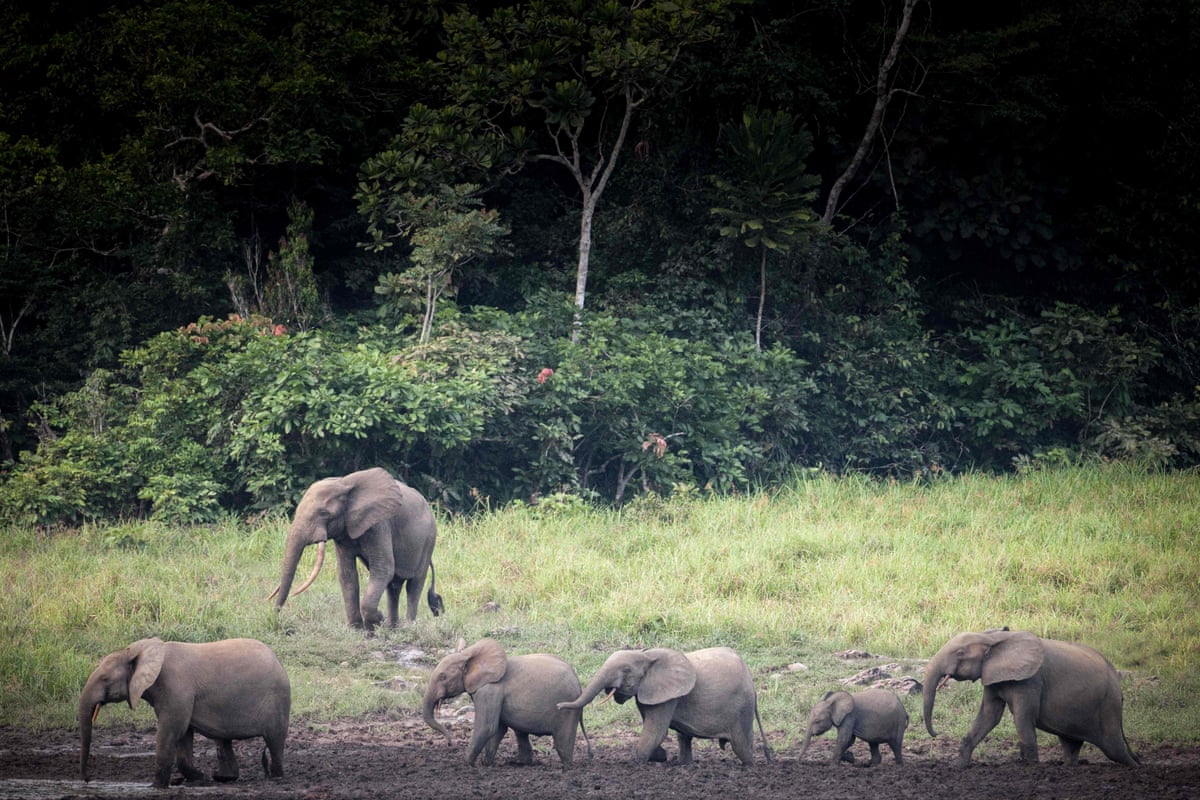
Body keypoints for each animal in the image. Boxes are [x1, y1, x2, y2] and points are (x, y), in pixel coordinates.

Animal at [79, 637, 290, 789]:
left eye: (105, 679)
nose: (87, 780)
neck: (136, 652)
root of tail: (278, 661)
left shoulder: (176, 689)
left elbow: (171, 731)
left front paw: (156, 787)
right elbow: (183, 735)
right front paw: (200, 778)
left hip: (277, 700)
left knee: (274, 740)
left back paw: (276, 777)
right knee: (222, 741)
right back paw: (222, 778)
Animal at [269, 467, 443, 630]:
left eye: (324, 513)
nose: (275, 616)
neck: (343, 483)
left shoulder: (379, 524)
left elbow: (383, 569)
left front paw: (376, 622)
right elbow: (347, 574)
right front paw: (357, 629)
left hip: (429, 540)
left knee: (414, 584)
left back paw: (407, 627)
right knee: (394, 586)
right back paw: (392, 628)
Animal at [422, 638, 591, 768]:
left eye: (443, 677)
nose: (450, 743)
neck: (469, 655)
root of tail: (578, 683)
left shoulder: (490, 691)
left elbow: (487, 727)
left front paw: (467, 764)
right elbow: (498, 729)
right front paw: (486, 764)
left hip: (567, 709)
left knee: (562, 743)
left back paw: (566, 768)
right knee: (521, 732)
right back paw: (518, 763)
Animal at [557, 646, 771, 766]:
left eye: (626, 670)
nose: (559, 706)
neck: (647, 654)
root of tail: (750, 677)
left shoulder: (667, 696)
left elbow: (656, 730)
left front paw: (639, 763)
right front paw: (661, 757)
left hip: (742, 707)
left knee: (741, 745)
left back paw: (750, 767)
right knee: (684, 738)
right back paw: (685, 765)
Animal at [923, 629, 1139, 767]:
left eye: (960, 652)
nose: (936, 733)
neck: (994, 637)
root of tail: (1118, 684)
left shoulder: (1030, 681)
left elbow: (1022, 719)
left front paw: (1031, 768)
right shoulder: (992, 675)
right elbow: (988, 716)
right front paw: (957, 766)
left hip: (1108, 705)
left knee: (1115, 749)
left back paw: (1136, 767)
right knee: (1071, 746)